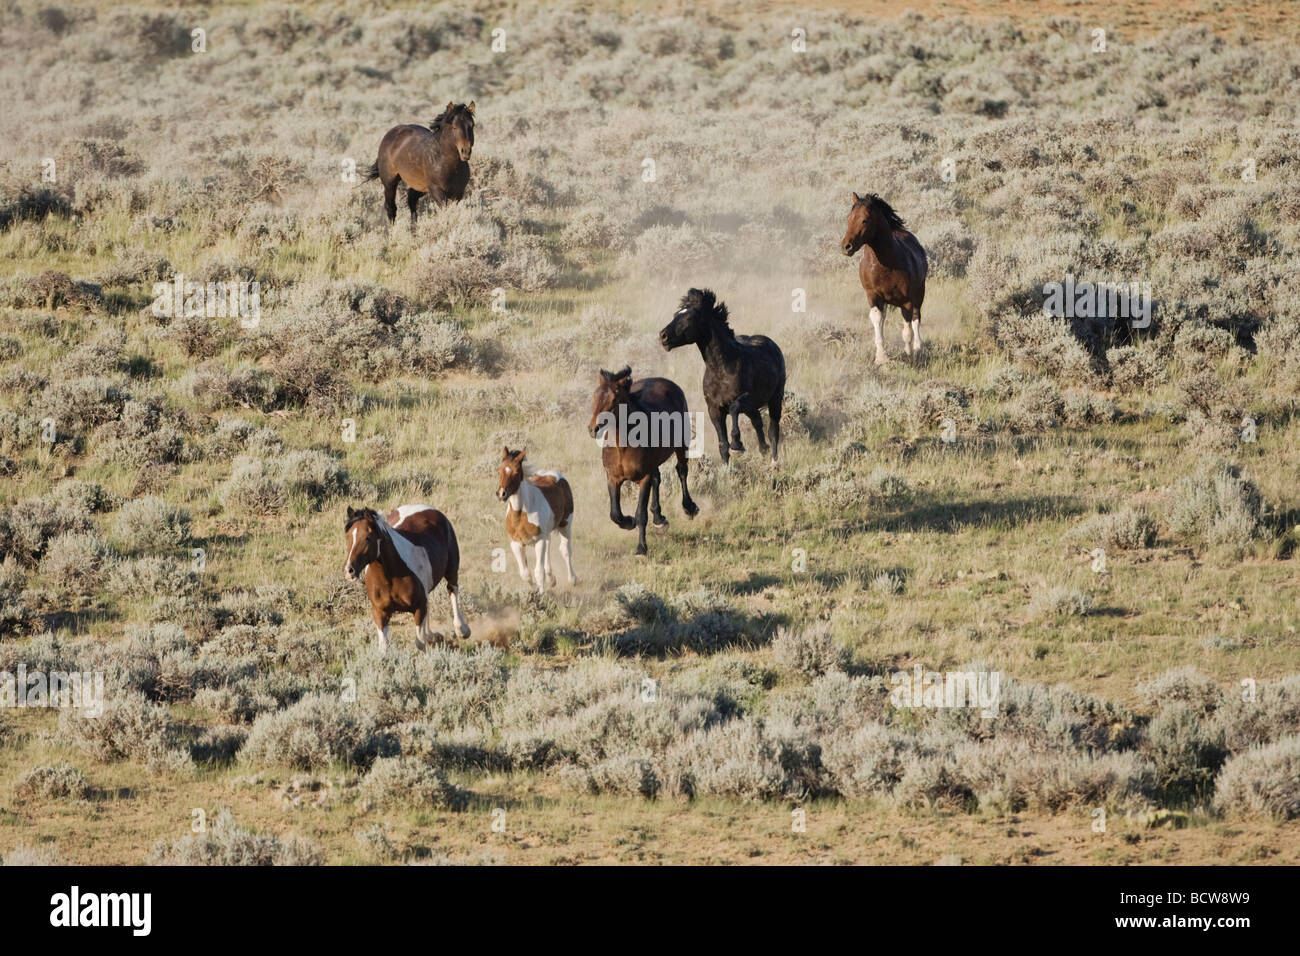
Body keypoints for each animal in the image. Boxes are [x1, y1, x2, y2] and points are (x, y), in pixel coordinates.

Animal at [343, 502, 470, 650]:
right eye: (348, 537)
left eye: (367, 537)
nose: (349, 570)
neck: (390, 577)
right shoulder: (380, 612)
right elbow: (384, 647)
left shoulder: (419, 607)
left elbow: (420, 642)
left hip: (452, 569)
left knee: (452, 590)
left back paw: (462, 630)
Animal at [496, 447, 579, 590]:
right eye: (499, 470)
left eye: (516, 472)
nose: (501, 494)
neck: (520, 516)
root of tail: (556, 475)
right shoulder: (516, 544)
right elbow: (525, 573)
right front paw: (534, 589)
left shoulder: (539, 541)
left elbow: (538, 572)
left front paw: (541, 593)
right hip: (547, 532)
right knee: (549, 545)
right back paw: (552, 579)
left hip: (565, 524)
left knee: (565, 550)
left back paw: (572, 579)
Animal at [592, 369, 702, 561]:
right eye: (595, 395)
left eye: (614, 400)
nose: (593, 429)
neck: (622, 447)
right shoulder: (613, 478)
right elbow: (615, 513)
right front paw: (629, 522)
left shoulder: (643, 478)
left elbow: (641, 514)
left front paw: (641, 549)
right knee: (657, 479)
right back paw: (659, 519)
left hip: (681, 444)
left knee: (681, 471)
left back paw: (689, 508)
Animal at [655, 287, 785, 468]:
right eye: (676, 314)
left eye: (689, 317)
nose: (663, 336)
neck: (721, 369)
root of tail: (771, 344)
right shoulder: (714, 409)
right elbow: (722, 445)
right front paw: (726, 468)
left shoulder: (744, 399)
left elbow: (734, 408)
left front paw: (737, 445)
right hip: (754, 407)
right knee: (757, 422)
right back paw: (763, 450)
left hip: (775, 398)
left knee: (773, 430)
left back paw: (773, 461)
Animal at [837, 192, 930, 364]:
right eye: (848, 217)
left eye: (864, 220)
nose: (846, 247)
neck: (885, 265)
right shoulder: (873, 296)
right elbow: (877, 320)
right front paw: (881, 357)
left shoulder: (907, 301)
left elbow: (907, 330)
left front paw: (909, 355)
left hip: (919, 293)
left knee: (916, 318)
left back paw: (918, 347)